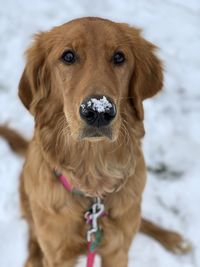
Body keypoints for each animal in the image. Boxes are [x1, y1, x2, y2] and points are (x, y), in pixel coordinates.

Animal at [0, 17, 191, 267]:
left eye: (119, 57)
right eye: (68, 56)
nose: (99, 111)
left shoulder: (117, 252)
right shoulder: (58, 255)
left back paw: (172, 239)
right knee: (33, 234)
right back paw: (32, 258)